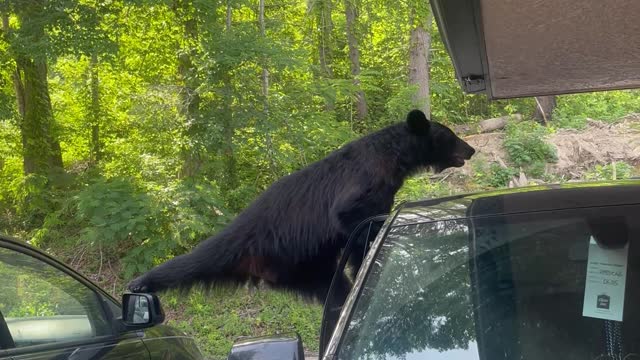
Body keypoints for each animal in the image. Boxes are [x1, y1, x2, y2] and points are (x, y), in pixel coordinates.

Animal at [127, 109, 472, 300]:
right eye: (451, 135)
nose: (470, 149)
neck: (395, 160)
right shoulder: (365, 180)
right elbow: (351, 217)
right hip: (248, 242)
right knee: (192, 262)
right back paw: (142, 282)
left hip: (308, 269)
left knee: (333, 287)